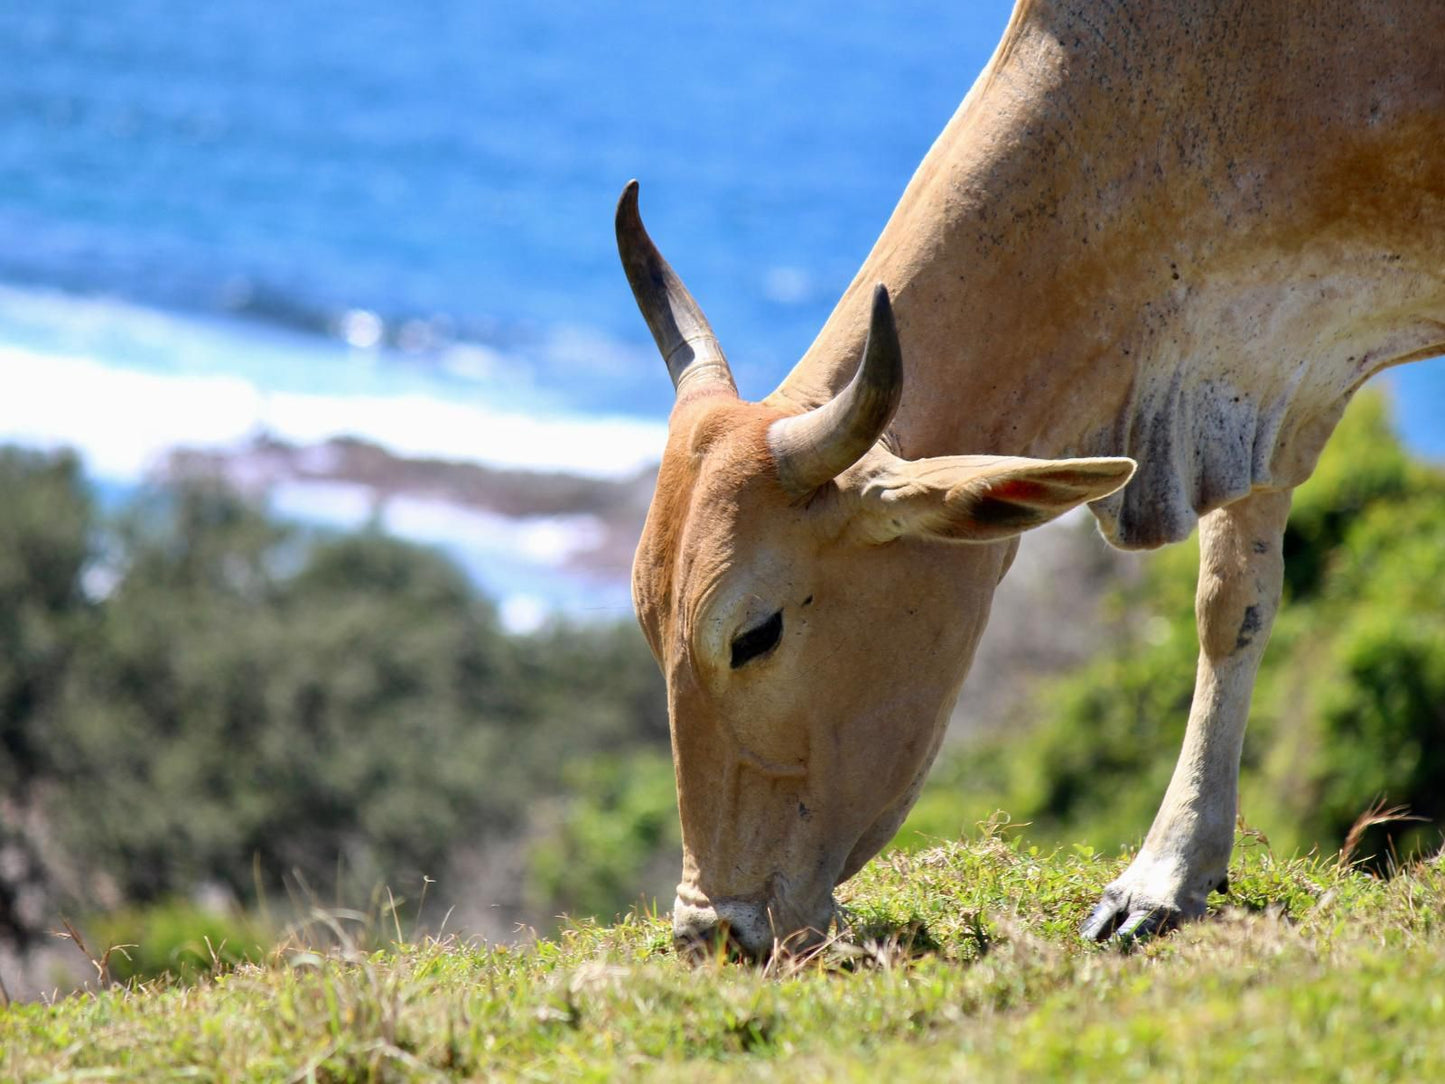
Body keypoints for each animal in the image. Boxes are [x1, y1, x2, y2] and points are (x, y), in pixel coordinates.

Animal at [615, 0, 1439, 959]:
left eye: (755, 635)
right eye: (648, 625)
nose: (710, 932)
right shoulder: (1253, 387)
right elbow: (1230, 606)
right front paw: (1167, 878)